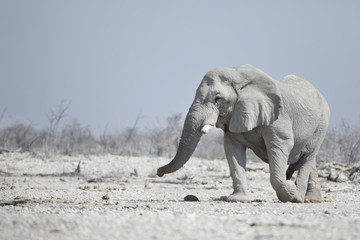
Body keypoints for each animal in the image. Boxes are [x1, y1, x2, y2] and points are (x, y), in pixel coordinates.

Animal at [156, 64, 330, 202]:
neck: (238, 76)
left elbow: (280, 144)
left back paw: (298, 198)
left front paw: (289, 193)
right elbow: (232, 148)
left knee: (307, 157)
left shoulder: (278, 117)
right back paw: (311, 199)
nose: (158, 172)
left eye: (217, 98)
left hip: (321, 125)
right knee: (307, 160)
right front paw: (237, 199)